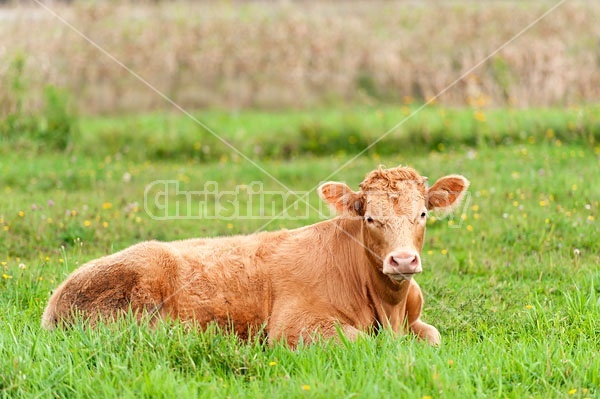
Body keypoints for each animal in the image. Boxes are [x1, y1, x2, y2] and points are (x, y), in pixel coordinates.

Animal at [42, 166, 468, 346]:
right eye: (370, 217)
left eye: (423, 214)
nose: (402, 261)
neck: (387, 307)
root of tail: (55, 300)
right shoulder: (295, 325)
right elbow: (362, 342)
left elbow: (433, 337)